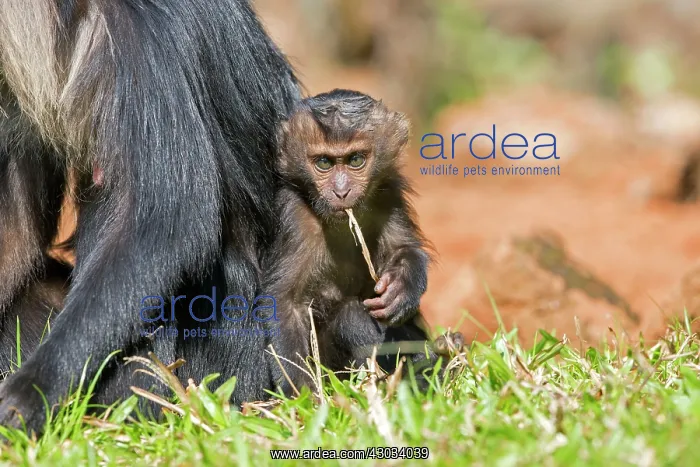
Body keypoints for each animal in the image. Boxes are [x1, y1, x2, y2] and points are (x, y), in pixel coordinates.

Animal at [263, 89, 453, 395]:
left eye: (355, 160)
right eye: (324, 163)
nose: (341, 192)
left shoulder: (388, 195)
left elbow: (404, 248)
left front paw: (402, 287)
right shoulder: (296, 218)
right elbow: (285, 300)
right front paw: (305, 395)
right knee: (350, 315)